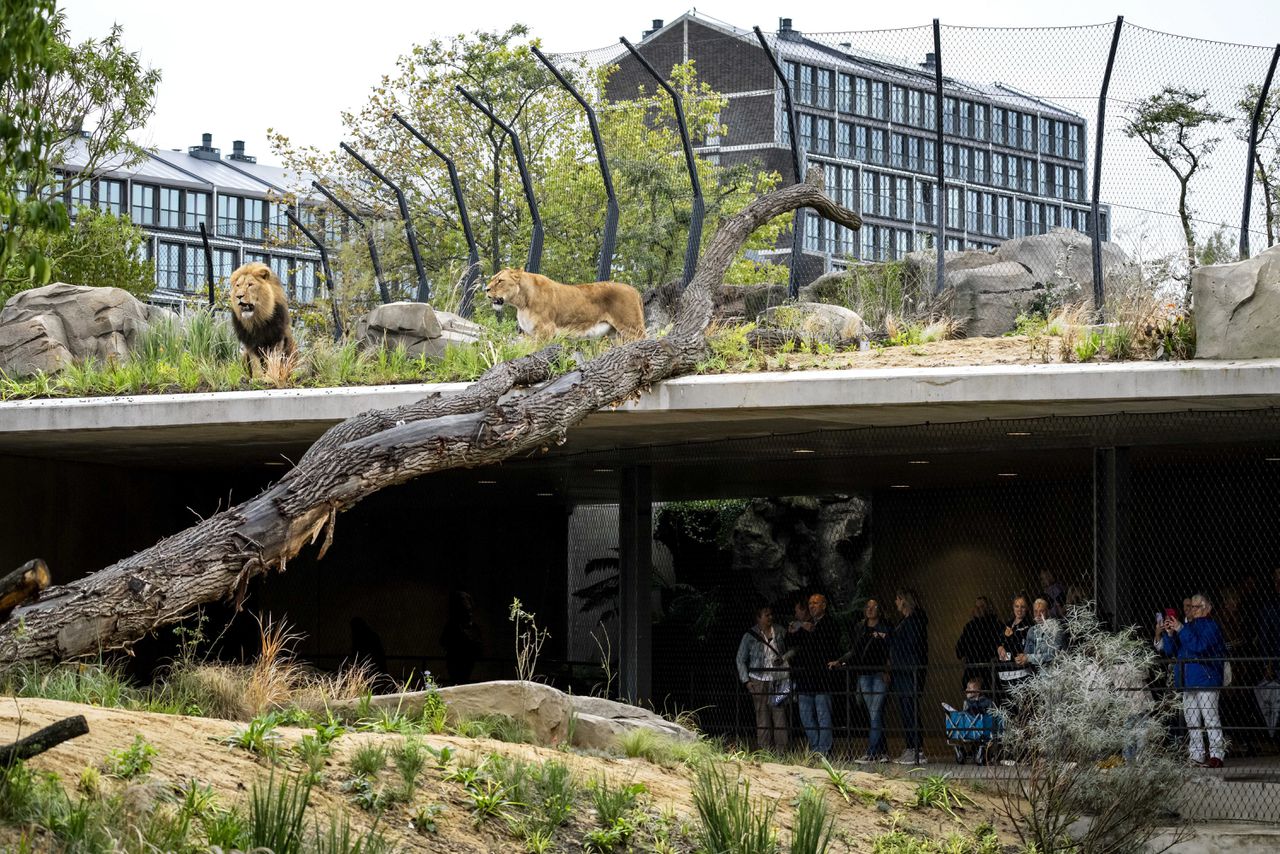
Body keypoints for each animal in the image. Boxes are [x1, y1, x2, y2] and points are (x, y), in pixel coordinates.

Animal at [483, 272, 645, 343]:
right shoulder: (532, 334)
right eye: (493, 279)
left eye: (500, 281)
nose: (486, 289)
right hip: (615, 334)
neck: (522, 303)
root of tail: (634, 290)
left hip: (632, 328)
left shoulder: (545, 331)